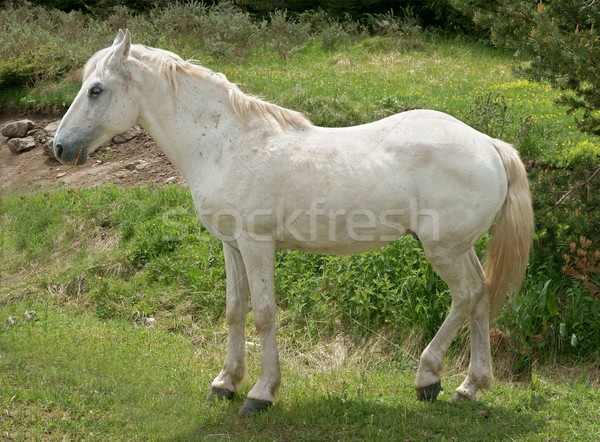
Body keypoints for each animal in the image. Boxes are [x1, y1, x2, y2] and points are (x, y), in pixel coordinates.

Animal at [55, 29, 536, 416]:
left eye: (95, 89)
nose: (59, 147)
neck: (225, 144)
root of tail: (489, 144)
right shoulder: (231, 245)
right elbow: (235, 311)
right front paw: (224, 384)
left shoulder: (256, 244)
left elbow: (265, 314)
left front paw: (260, 393)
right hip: (458, 247)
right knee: (481, 296)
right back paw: (469, 387)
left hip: (443, 249)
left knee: (466, 296)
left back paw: (429, 378)